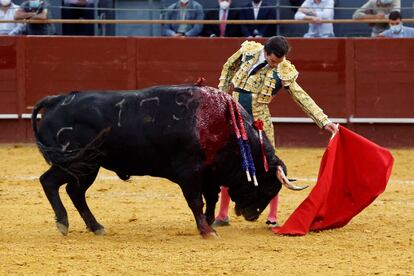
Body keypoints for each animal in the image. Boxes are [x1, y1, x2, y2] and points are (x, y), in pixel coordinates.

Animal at [31, 84, 304, 237]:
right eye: (268, 187)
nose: (251, 215)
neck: (222, 123)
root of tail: (55, 100)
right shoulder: (189, 173)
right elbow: (196, 201)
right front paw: (207, 231)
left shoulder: (209, 174)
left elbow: (211, 200)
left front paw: (207, 224)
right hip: (73, 160)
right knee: (49, 182)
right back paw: (63, 223)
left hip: (89, 166)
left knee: (75, 191)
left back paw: (96, 226)